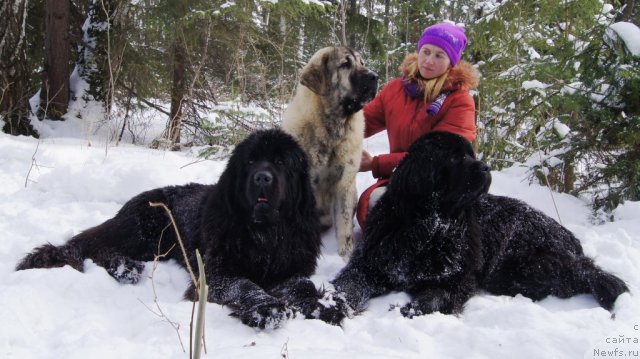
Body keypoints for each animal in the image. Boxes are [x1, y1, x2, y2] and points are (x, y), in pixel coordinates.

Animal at [16, 129, 322, 330]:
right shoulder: (215, 273)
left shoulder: (293, 266)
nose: (262, 177)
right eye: (250, 161)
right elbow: (244, 284)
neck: (264, 235)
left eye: (281, 162)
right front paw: (266, 308)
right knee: (98, 247)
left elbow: (302, 283)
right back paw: (124, 267)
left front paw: (320, 305)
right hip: (144, 227)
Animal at [318, 132, 628, 326]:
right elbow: (349, 285)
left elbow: (437, 294)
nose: (486, 167)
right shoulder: (371, 262)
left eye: (471, 154)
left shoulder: (458, 277)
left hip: (522, 266)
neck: (428, 226)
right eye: (455, 158)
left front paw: (413, 308)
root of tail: (569, 237)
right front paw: (330, 308)